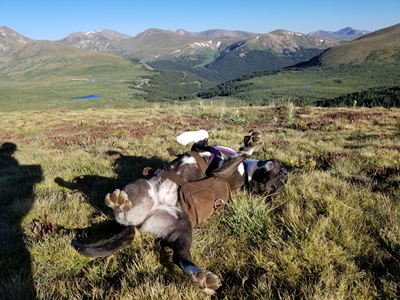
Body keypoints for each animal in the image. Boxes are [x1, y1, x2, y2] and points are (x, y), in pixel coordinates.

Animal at [73, 129, 290, 296]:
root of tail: (155, 209)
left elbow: (234, 150)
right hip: (167, 213)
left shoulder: (218, 172)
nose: (280, 173)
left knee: (175, 255)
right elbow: (203, 133)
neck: (245, 176)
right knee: (178, 256)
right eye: (280, 179)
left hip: (177, 221)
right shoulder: (201, 149)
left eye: (274, 187)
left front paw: (250, 145)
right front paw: (183, 137)